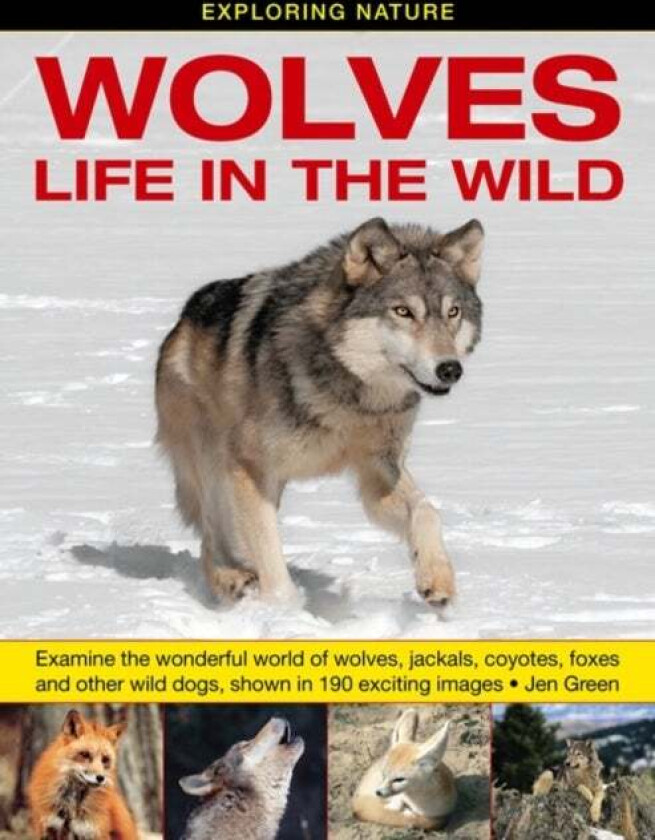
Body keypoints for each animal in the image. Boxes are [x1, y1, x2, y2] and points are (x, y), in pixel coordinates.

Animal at [156, 217, 484, 608]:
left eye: (453, 312)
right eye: (403, 311)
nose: (450, 369)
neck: (351, 397)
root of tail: (183, 317)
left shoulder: (379, 470)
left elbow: (427, 512)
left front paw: (436, 579)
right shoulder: (250, 469)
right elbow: (273, 567)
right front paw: (285, 612)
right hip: (214, 464)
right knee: (211, 536)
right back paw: (230, 581)